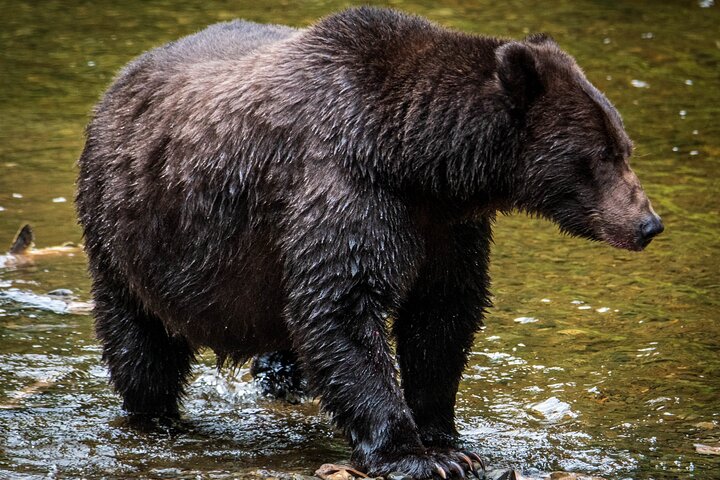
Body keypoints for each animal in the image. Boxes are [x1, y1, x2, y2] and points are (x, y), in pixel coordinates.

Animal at [75, 7, 663, 479]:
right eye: (604, 153)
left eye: (623, 145)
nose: (648, 223)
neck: (416, 160)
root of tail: (119, 81)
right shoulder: (349, 189)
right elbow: (344, 307)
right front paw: (418, 456)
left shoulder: (447, 228)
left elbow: (442, 315)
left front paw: (447, 437)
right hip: (128, 232)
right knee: (140, 343)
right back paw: (157, 418)